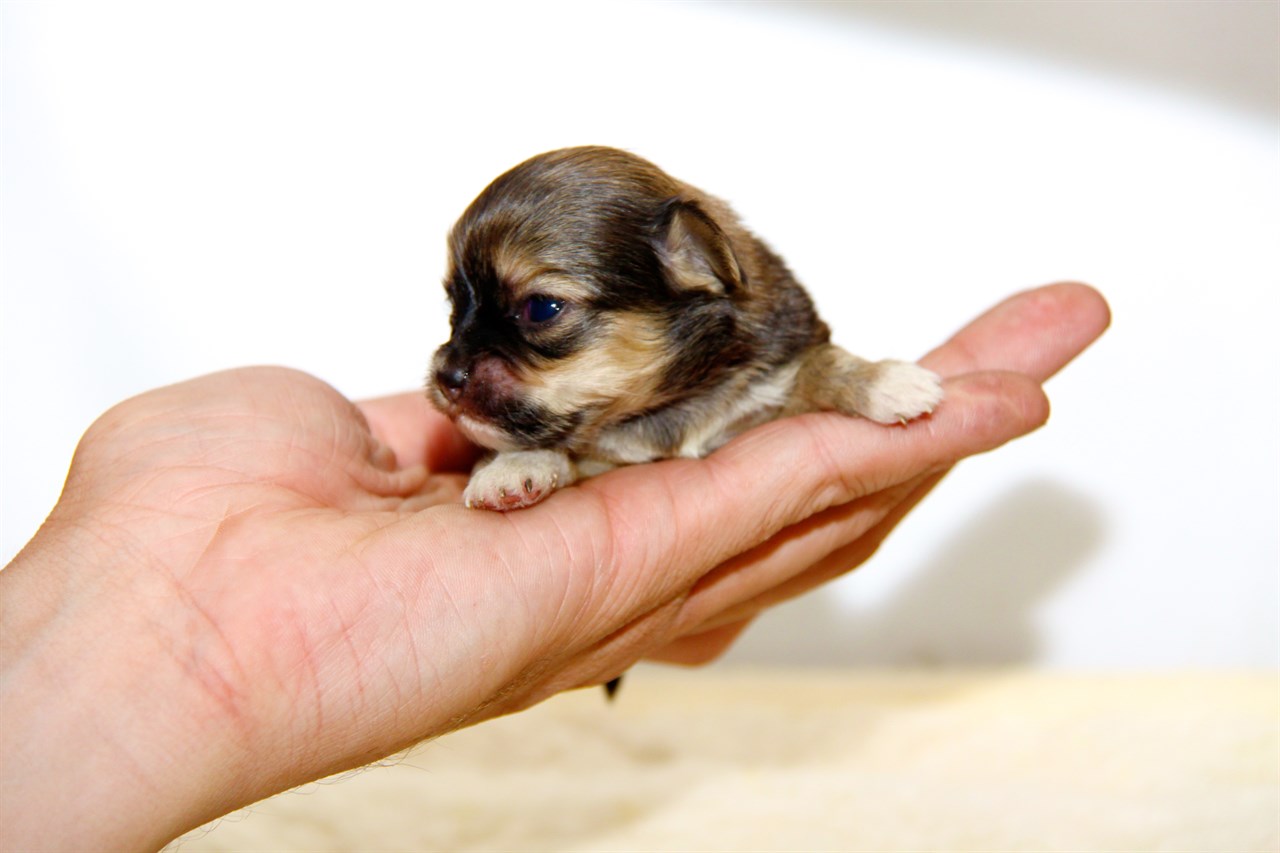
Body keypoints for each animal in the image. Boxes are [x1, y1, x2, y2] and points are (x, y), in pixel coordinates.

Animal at [430, 144, 942, 512]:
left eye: (540, 308)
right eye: (455, 303)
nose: (446, 376)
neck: (664, 405)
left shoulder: (774, 377)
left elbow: (821, 362)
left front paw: (887, 382)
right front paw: (510, 468)